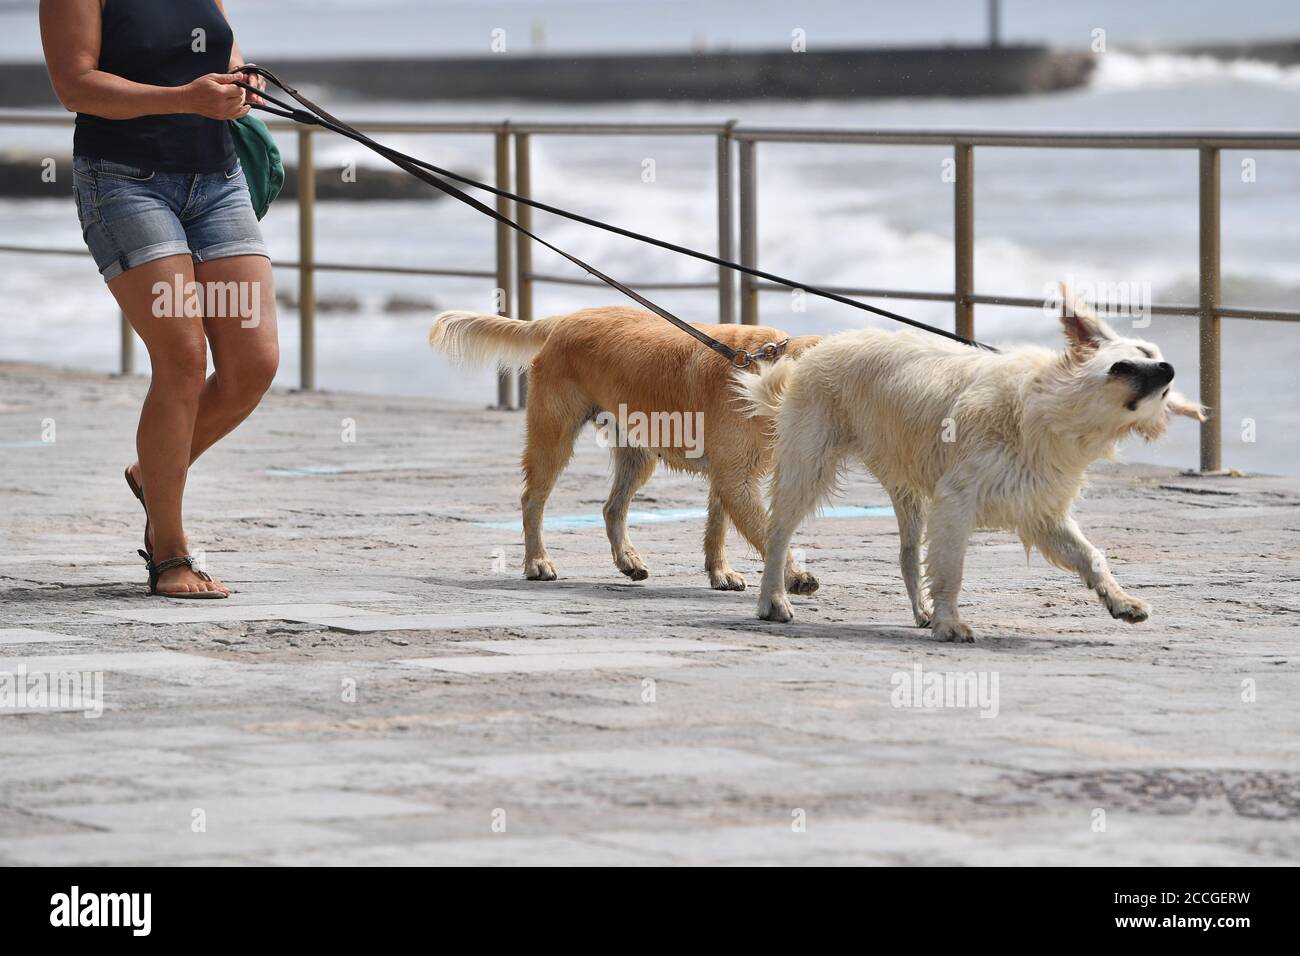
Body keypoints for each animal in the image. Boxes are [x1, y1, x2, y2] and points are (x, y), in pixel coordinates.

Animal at [738, 290, 1201, 642]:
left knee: (908, 554)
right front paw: (950, 624)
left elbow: (1091, 557)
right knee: (778, 535)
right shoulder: (956, 500)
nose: (1169, 370)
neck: (1046, 410)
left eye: (1163, 393)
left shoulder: (1040, 510)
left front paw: (1121, 602)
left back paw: (921, 611)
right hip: (808, 465)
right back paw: (772, 600)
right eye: (1137, 356)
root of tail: (819, 347)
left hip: (906, 485)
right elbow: (952, 569)